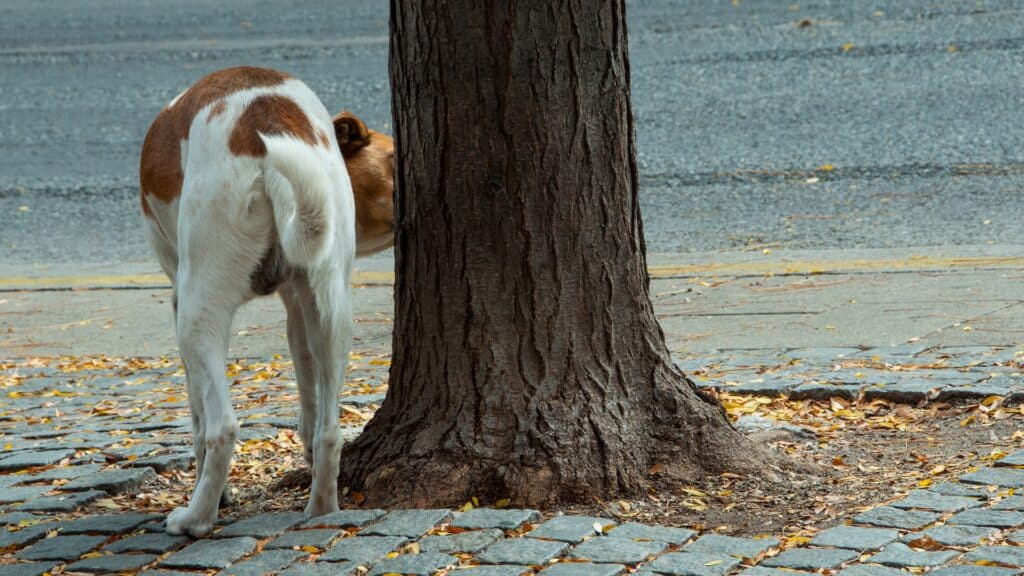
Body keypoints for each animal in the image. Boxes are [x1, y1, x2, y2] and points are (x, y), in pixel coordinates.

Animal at [142, 65, 397, 537]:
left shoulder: (179, 302)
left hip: (198, 311)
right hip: (335, 313)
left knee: (222, 428)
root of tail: (263, 123)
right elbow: (309, 399)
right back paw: (321, 508)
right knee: (330, 431)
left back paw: (195, 519)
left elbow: (197, 418)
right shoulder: (301, 306)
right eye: (394, 163)